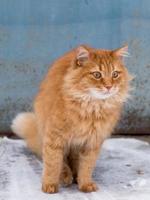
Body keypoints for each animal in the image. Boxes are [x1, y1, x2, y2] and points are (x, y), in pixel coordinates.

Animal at [11, 44, 132, 193]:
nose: (109, 86)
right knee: (60, 161)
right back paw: (65, 176)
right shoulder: (54, 137)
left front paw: (85, 183)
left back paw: (74, 175)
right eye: (97, 75)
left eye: (115, 74)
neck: (92, 107)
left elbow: (86, 167)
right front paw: (50, 185)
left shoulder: (92, 142)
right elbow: (53, 163)